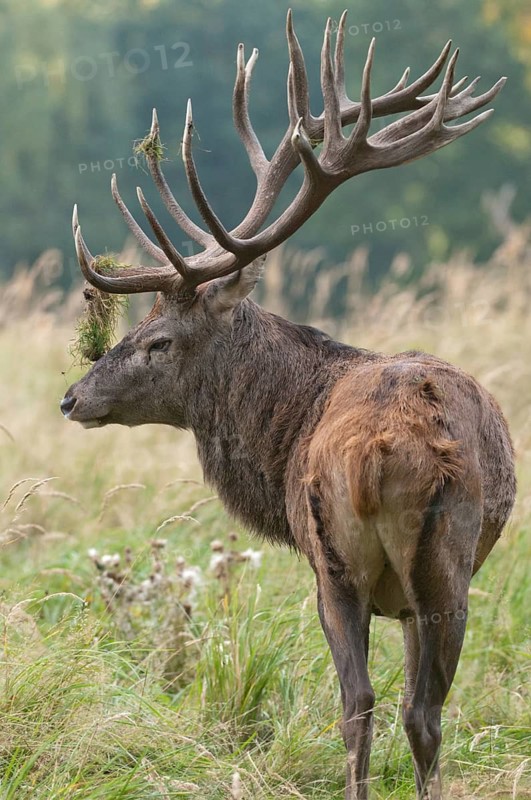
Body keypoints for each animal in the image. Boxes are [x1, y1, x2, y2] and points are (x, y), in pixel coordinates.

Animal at [60, 11, 515, 800]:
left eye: (158, 340)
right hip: (410, 565)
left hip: (358, 564)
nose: (72, 396)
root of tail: (377, 454)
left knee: (382, 706)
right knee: (395, 709)